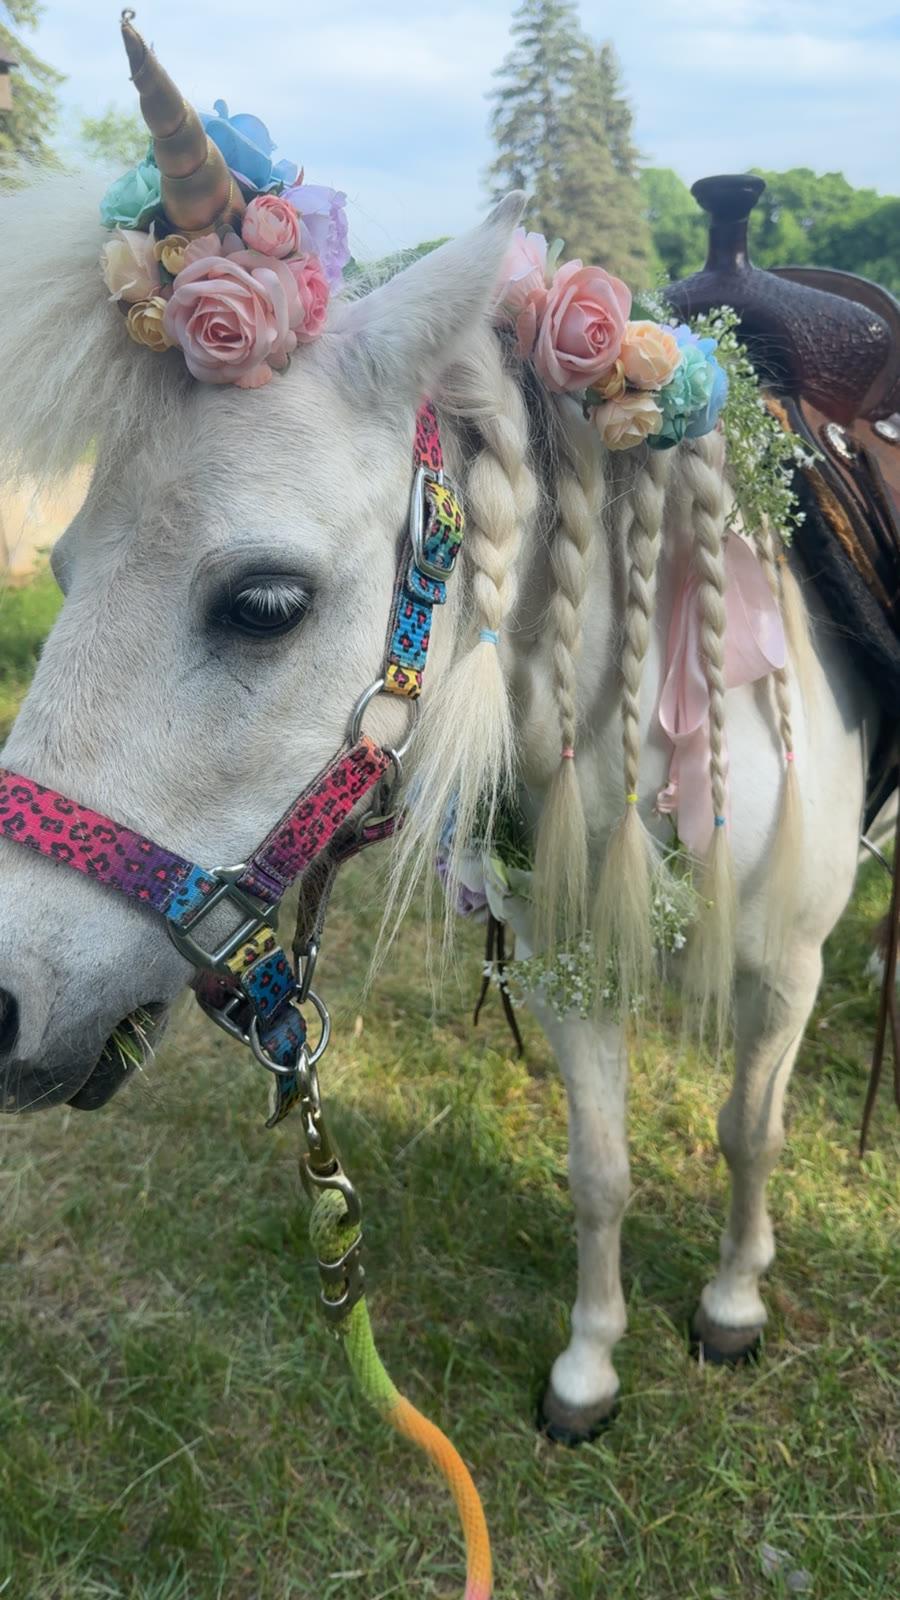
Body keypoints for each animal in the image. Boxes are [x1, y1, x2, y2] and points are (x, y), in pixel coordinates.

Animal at [0, 41, 877, 1449]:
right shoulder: (569, 960)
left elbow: (750, 1129)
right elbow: (599, 1169)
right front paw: (589, 1365)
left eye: (264, 602)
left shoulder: (786, 969)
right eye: (66, 571)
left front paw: (735, 1301)